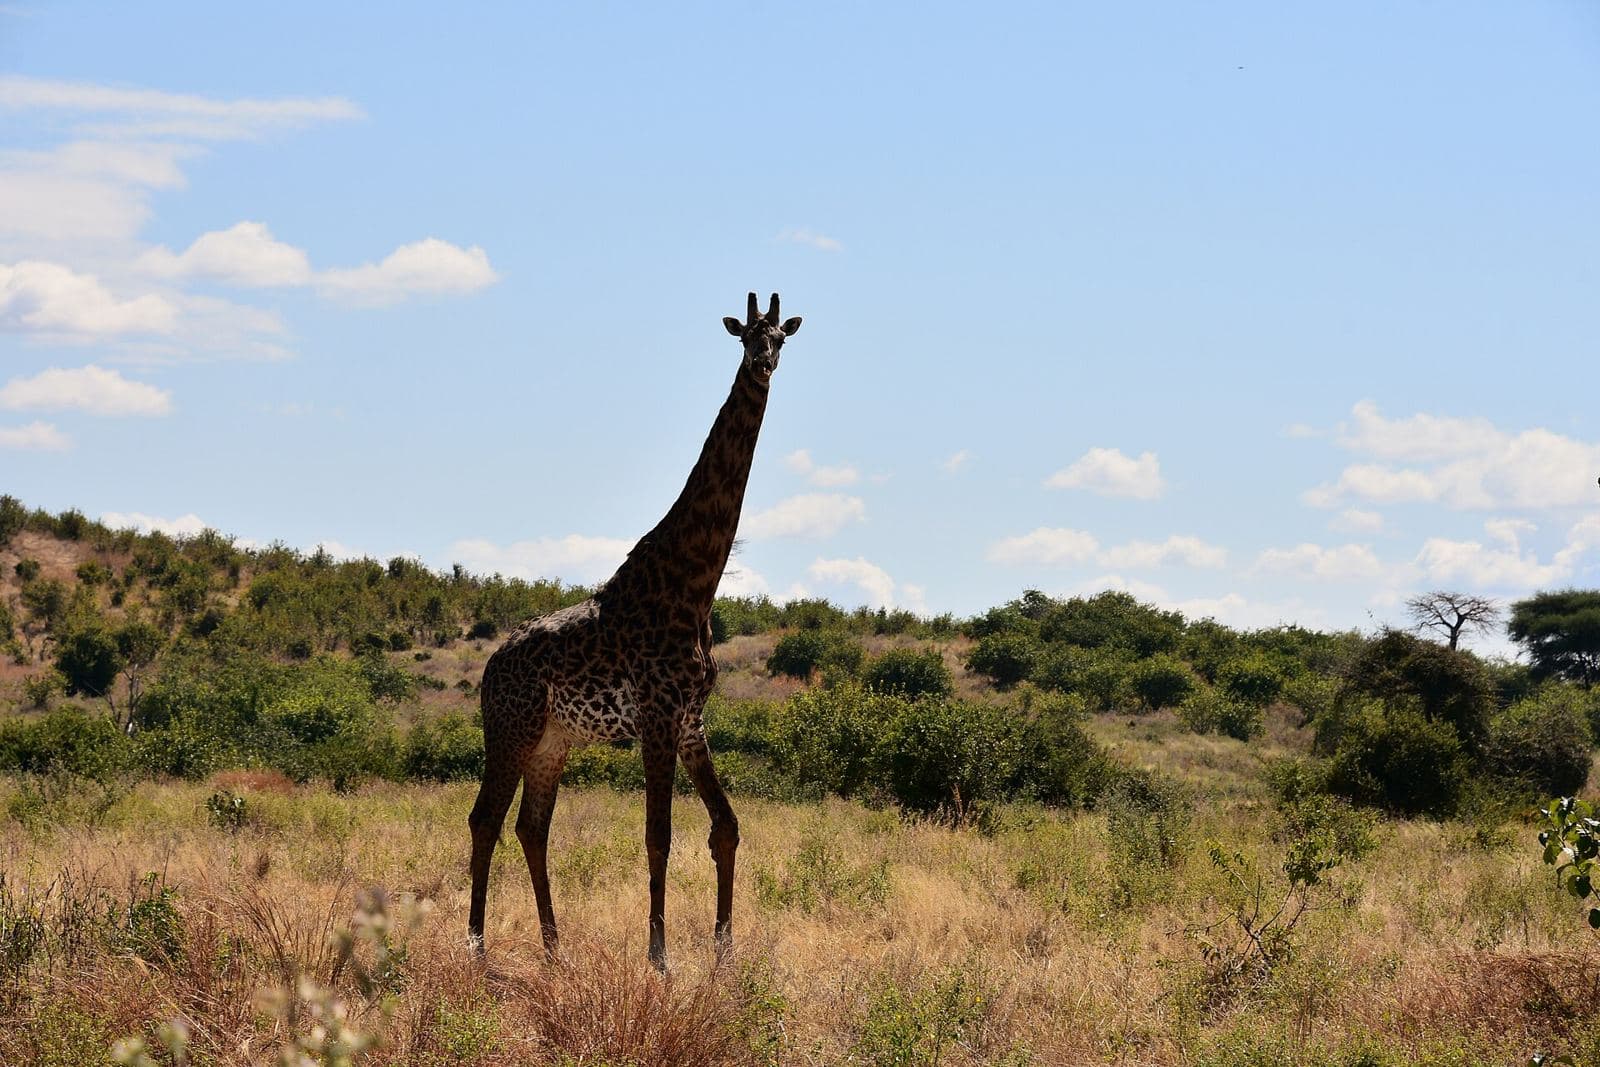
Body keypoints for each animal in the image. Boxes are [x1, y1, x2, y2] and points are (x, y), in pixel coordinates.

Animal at [468, 292, 802, 970]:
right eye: (745, 337)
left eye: (782, 336)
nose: (762, 365)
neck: (696, 584)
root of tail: (490, 667)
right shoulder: (656, 714)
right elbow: (658, 835)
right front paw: (659, 957)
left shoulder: (690, 719)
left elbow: (725, 827)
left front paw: (725, 953)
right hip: (512, 729)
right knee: (485, 820)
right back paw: (479, 950)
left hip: (553, 741)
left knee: (530, 827)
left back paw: (555, 950)